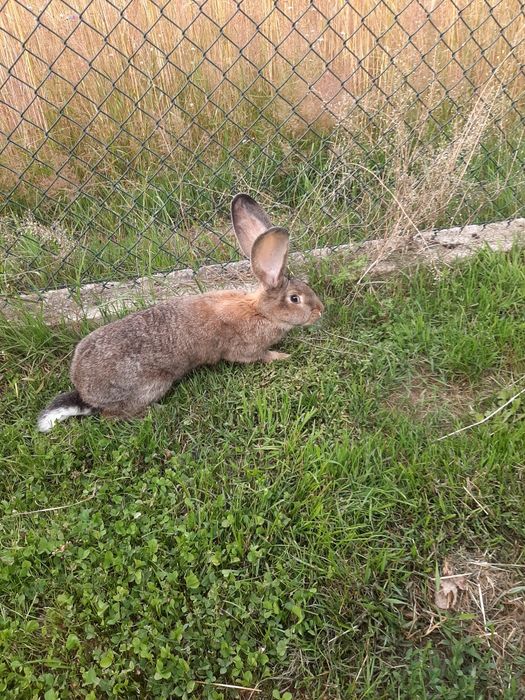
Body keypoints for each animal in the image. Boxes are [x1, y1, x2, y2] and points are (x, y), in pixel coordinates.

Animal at [36, 193, 324, 432]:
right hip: (150, 385)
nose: (320, 311)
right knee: (112, 416)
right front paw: (281, 356)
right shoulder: (245, 349)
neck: (261, 311)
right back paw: (155, 412)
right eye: (295, 298)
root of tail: (84, 393)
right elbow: (257, 356)